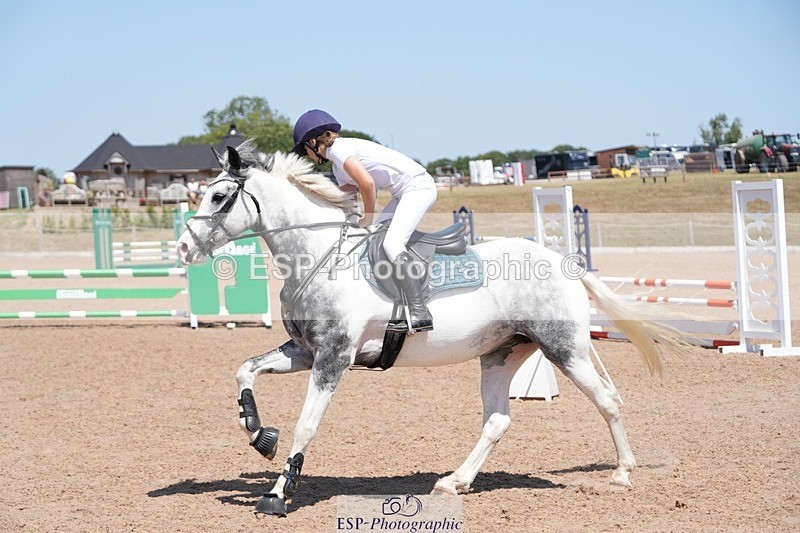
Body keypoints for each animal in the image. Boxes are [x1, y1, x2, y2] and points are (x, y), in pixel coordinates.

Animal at [176, 141, 686, 517]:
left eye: (218, 197)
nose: (183, 248)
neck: (318, 257)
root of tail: (564, 262)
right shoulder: (304, 351)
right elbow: (246, 370)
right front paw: (257, 434)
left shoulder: (333, 357)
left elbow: (306, 425)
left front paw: (278, 494)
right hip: (502, 353)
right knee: (497, 420)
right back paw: (453, 482)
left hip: (565, 349)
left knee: (607, 400)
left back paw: (621, 474)